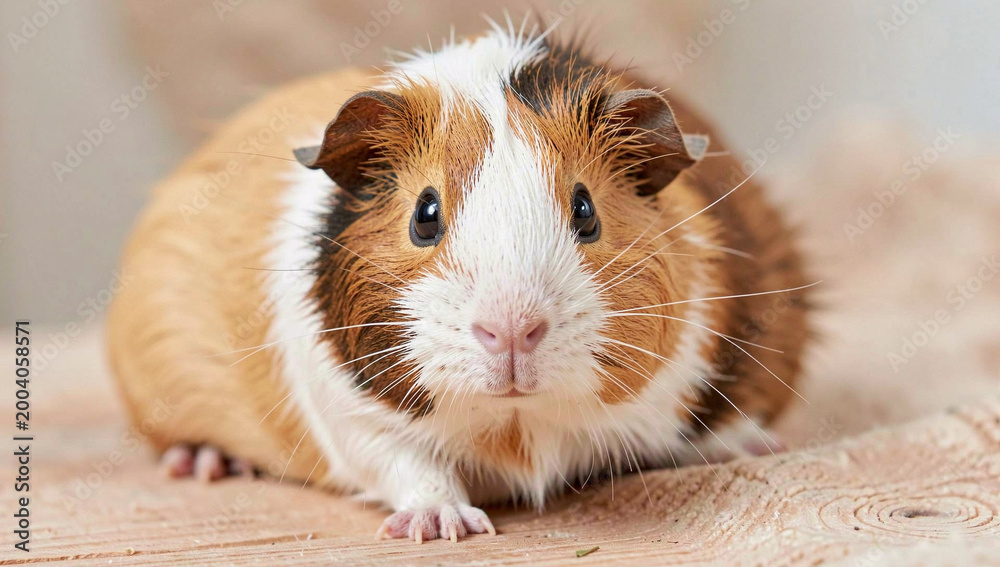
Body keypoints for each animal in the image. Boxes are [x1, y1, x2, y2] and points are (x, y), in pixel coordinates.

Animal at [108, 22, 811, 543]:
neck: (518, 427)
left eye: (585, 210)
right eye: (425, 214)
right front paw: (443, 527)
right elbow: (406, 463)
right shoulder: (352, 420)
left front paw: (753, 446)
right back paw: (205, 464)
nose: (511, 331)